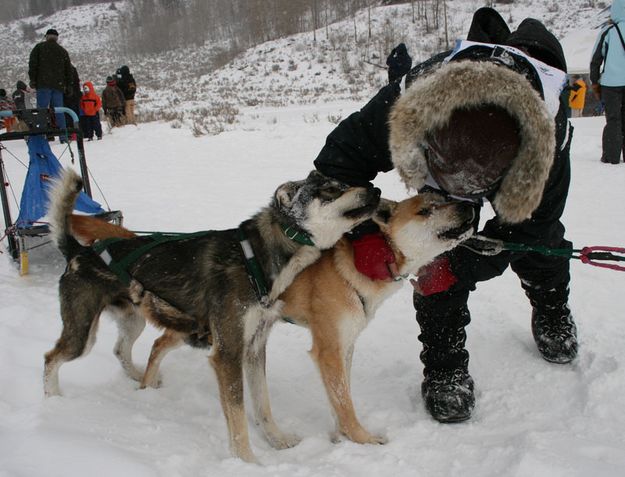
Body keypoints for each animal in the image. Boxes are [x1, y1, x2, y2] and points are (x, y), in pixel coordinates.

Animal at [44, 167, 378, 462]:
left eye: (343, 183)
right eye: (330, 190)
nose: (374, 189)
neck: (256, 258)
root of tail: (78, 251)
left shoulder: (254, 347)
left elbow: (263, 405)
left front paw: (278, 441)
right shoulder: (228, 352)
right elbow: (239, 417)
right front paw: (248, 462)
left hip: (134, 319)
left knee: (120, 348)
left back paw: (140, 381)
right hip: (82, 335)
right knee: (52, 357)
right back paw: (52, 401)